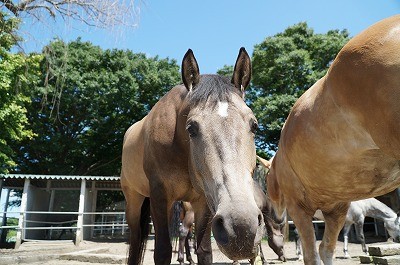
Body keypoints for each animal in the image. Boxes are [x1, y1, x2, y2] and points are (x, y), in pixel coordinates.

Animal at [122, 48, 266, 264]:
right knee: (135, 238)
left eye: (254, 125)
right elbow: (162, 252)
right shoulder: (159, 196)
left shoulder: (203, 203)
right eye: (191, 128)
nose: (241, 228)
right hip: (134, 198)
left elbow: (204, 251)